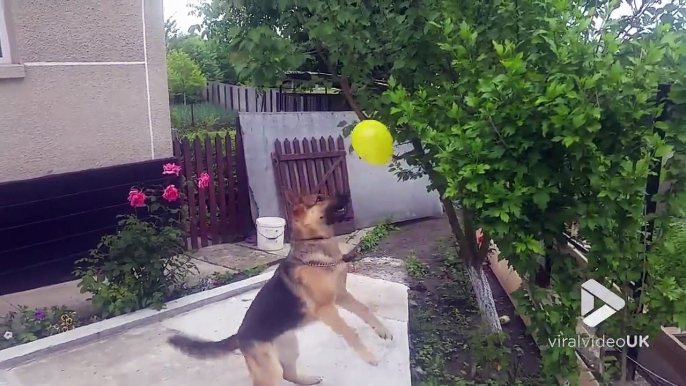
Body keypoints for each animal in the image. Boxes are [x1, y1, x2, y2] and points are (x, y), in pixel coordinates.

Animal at [167, 188, 396, 384]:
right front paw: (368, 356)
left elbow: (364, 309)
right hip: (268, 369)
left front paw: (382, 330)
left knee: (289, 373)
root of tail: (239, 335)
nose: (346, 192)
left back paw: (307, 379)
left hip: (290, 346)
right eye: (319, 198)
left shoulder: (341, 295)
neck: (316, 247)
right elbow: (350, 332)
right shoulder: (326, 309)